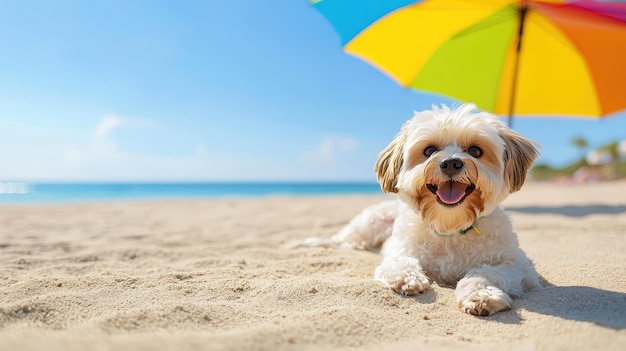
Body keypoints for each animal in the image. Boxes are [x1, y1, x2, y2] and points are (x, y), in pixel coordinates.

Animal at [294, 104, 540, 316]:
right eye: (429, 150)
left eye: (475, 151)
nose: (451, 163)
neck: (449, 225)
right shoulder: (399, 250)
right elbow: (402, 262)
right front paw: (408, 278)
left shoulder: (519, 265)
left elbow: (485, 272)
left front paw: (481, 294)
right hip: (369, 223)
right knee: (341, 239)